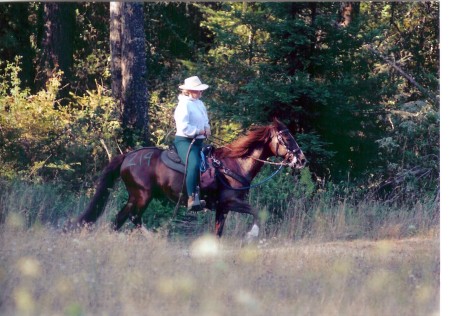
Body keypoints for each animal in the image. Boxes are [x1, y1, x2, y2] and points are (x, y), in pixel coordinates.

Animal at [73, 118, 306, 239]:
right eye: (286, 138)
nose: (302, 160)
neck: (235, 164)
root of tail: (128, 156)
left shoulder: (222, 208)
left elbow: (218, 233)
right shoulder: (232, 202)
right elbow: (257, 212)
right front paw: (252, 234)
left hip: (135, 196)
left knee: (120, 219)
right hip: (142, 196)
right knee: (133, 218)